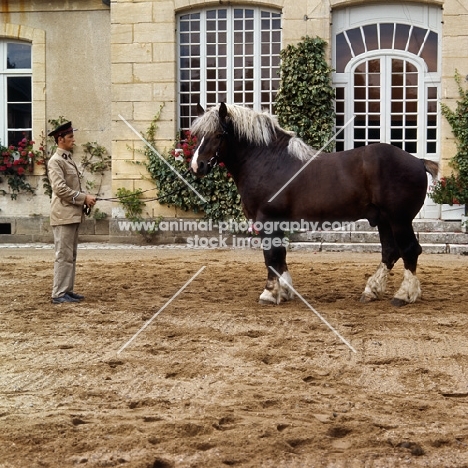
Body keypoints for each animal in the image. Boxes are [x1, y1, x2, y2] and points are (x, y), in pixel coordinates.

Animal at [189, 103, 438, 308]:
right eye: (199, 135)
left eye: (218, 134)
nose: (196, 165)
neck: (268, 161)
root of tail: (418, 161)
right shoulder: (276, 223)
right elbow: (280, 255)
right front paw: (285, 291)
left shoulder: (267, 220)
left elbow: (271, 256)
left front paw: (269, 294)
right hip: (384, 220)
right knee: (390, 252)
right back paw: (371, 291)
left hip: (399, 220)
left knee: (409, 250)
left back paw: (403, 295)